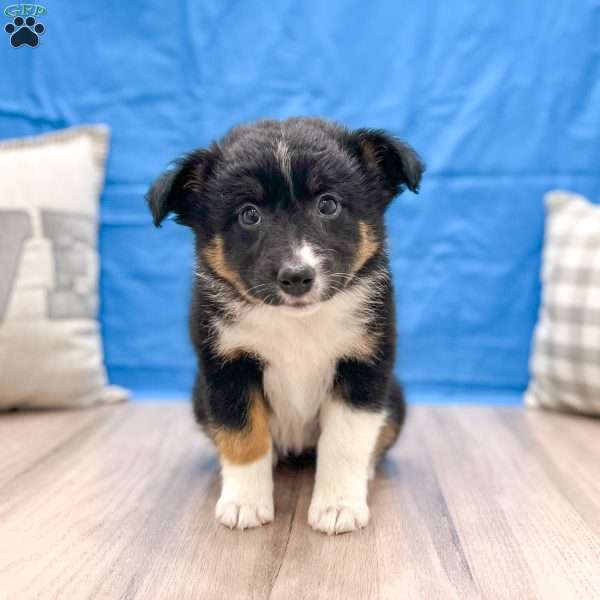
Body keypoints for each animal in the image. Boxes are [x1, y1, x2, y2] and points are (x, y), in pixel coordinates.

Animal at [147, 118, 424, 536]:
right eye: (249, 214)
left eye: (328, 204)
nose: (296, 277)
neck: (297, 325)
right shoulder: (227, 367)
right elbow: (243, 435)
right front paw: (244, 503)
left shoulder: (364, 365)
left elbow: (345, 442)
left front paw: (338, 506)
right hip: (199, 397)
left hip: (395, 396)